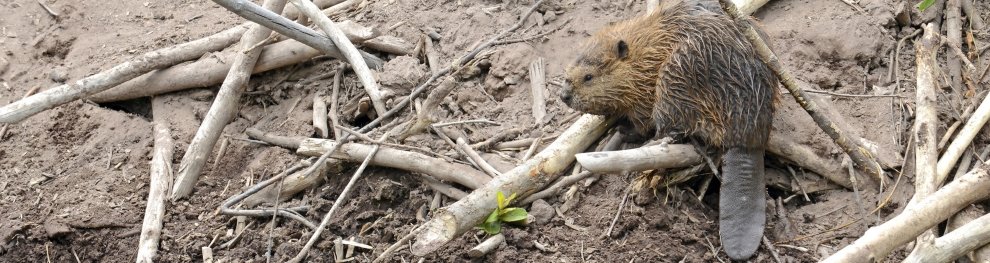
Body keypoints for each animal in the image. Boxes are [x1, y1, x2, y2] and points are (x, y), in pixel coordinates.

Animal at [560, 0, 780, 260]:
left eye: (588, 77)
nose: (563, 95)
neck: (647, 49)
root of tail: (748, 141)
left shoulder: (647, 85)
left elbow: (642, 115)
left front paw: (623, 126)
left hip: (676, 75)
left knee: (670, 128)